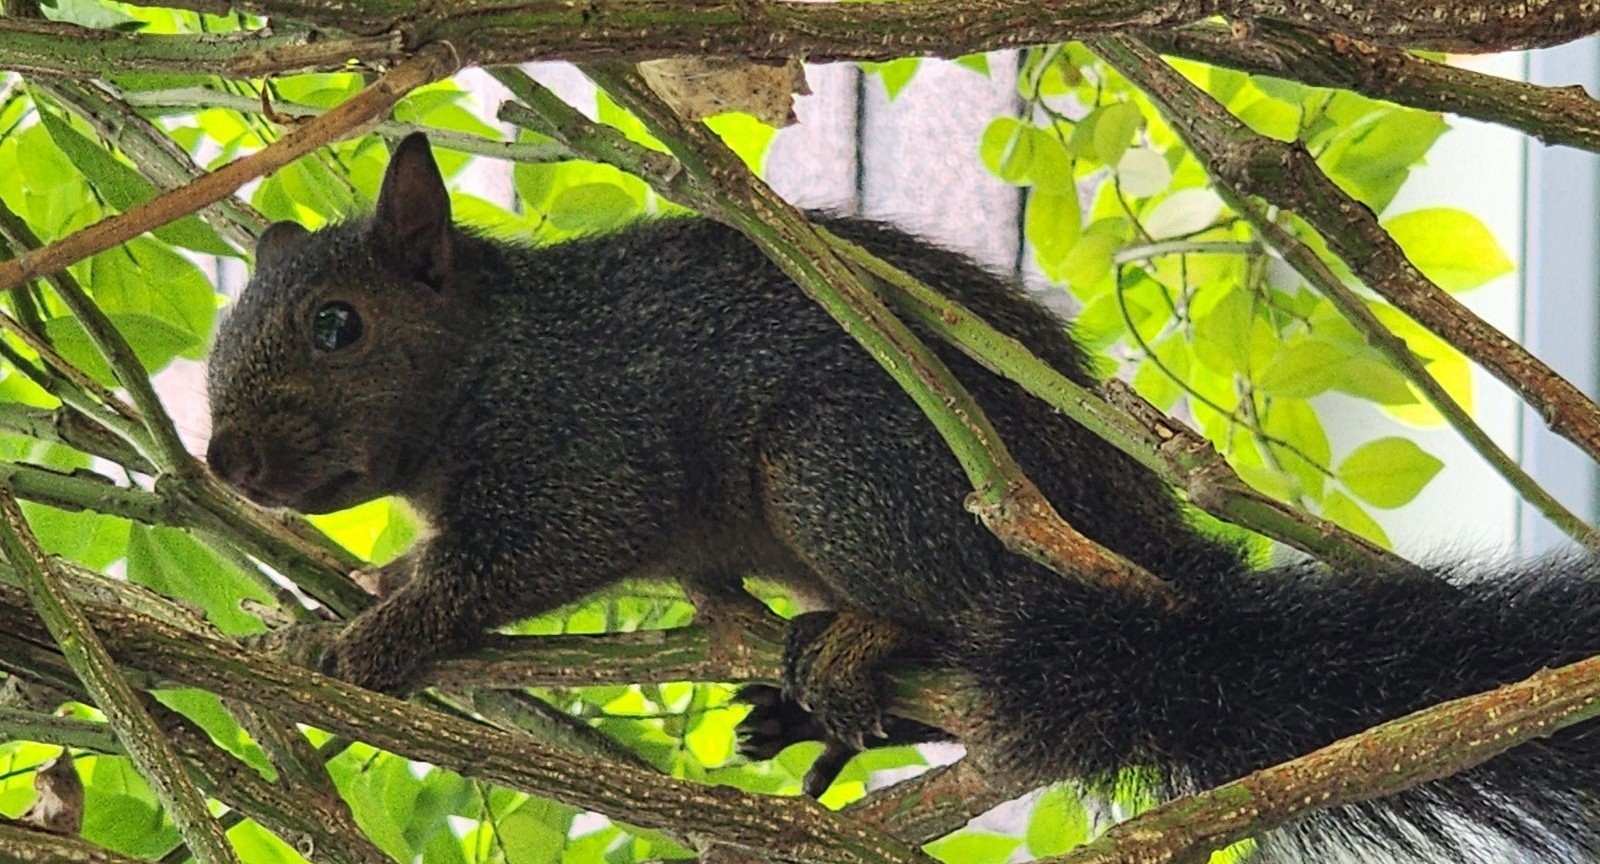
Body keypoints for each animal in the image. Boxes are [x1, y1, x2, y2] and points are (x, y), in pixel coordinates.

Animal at [207, 132, 1600, 862]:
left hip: (847, 473)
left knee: (973, 613)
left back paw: (864, 646)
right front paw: (363, 587)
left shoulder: (584, 447)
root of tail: (1143, 550)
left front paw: (370, 638)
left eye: (337, 325)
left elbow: (514, 557)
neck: (486, 359)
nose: (225, 467)